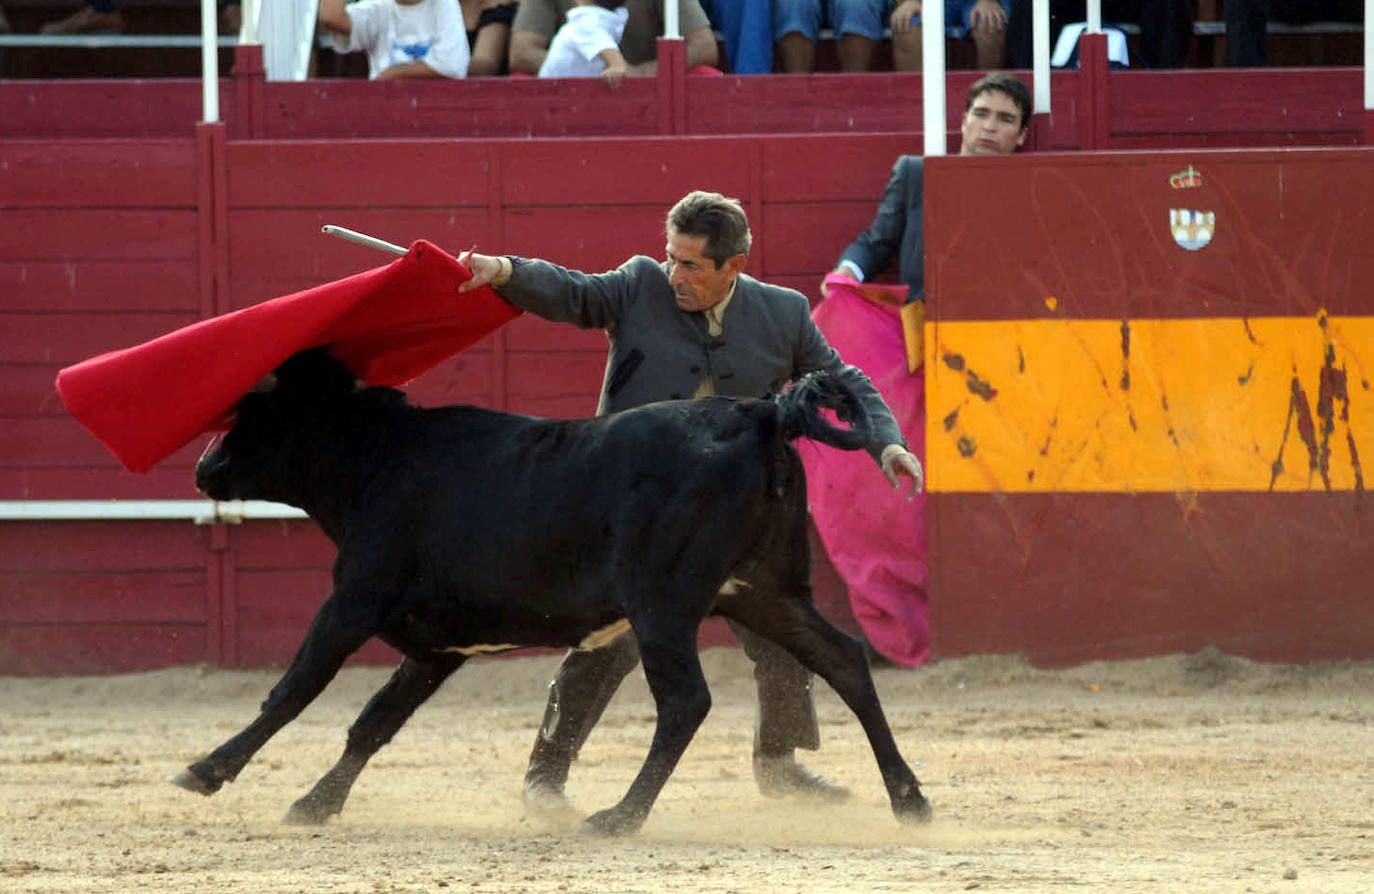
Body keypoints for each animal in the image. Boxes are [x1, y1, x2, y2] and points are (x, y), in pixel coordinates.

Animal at [166, 346, 928, 834]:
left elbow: (293, 689)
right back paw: (909, 799)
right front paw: (317, 804)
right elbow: (374, 722)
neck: (379, 460)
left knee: (687, 701)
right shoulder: (436, 649)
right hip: (765, 593)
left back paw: (619, 816)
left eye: (255, 417)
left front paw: (205, 770)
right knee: (843, 661)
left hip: (663, 609)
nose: (204, 469)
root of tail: (760, 414)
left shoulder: (351, 602)